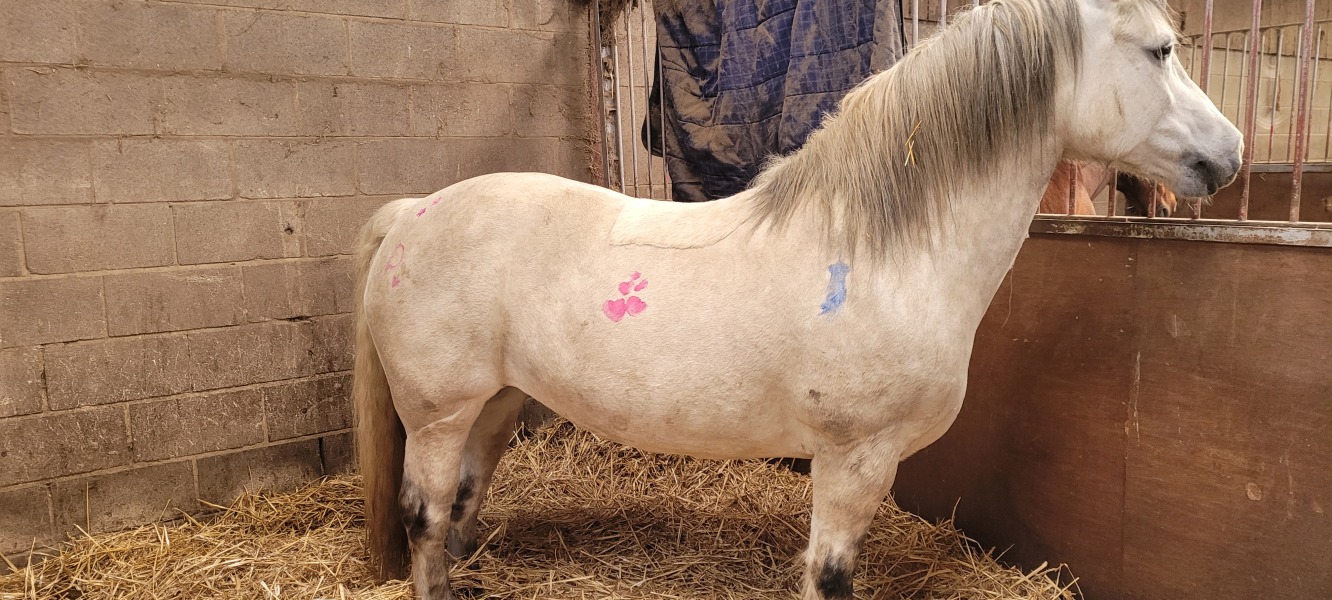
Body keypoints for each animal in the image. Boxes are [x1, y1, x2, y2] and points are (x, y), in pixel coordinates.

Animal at [351, 0, 1242, 598]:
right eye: (1162, 48)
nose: (1230, 154)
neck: (883, 251)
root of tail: (415, 212)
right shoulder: (855, 459)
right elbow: (832, 576)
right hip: (438, 414)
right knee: (426, 517)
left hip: (495, 404)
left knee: (461, 508)